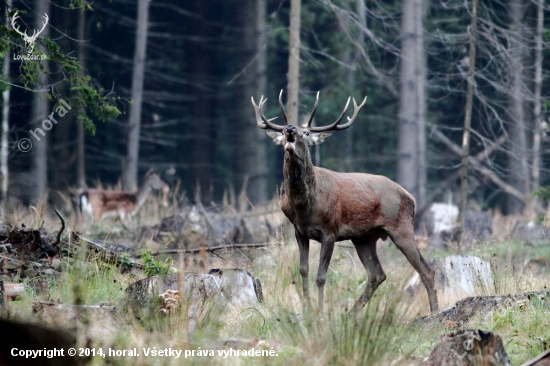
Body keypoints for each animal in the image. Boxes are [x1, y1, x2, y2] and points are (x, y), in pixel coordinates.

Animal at [253, 89, 440, 314]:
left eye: (306, 133)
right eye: (282, 131)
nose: (290, 128)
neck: (305, 206)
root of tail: (410, 197)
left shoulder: (330, 231)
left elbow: (321, 276)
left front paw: (320, 312)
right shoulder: (299, 231)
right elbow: (303, 270)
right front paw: (307, 309)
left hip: (401, 227)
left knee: (426, 270)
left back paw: (434, 311)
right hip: (364, 237)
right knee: (377, 274)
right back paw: (352, 313)